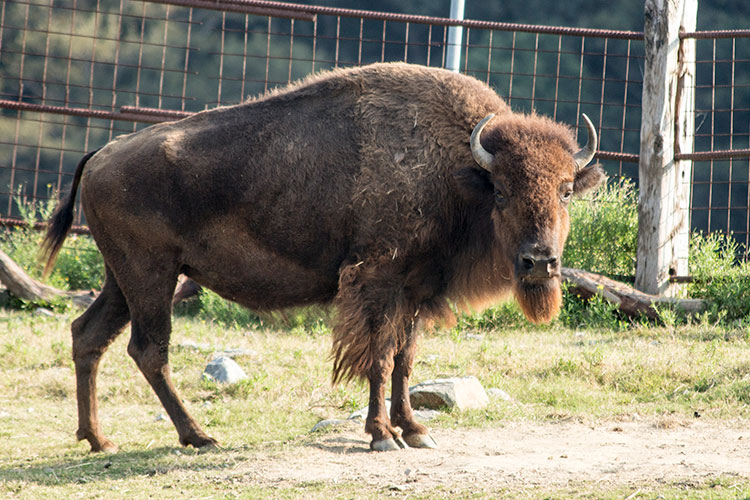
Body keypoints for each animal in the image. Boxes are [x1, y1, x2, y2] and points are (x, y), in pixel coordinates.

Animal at [42, 61, 604, 454]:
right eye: (502, 192)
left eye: (566, 191)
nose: (539, 262)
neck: (460, 169)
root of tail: (100, 154)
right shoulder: (378, 281)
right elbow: (378, 357)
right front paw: (381, 436)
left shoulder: (415, 290)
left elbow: (404, 361)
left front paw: (415, 430)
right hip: (152, 276)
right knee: (148, 350)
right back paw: (199, 436)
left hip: (122, 280)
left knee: (88, 335)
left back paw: (99, 439)